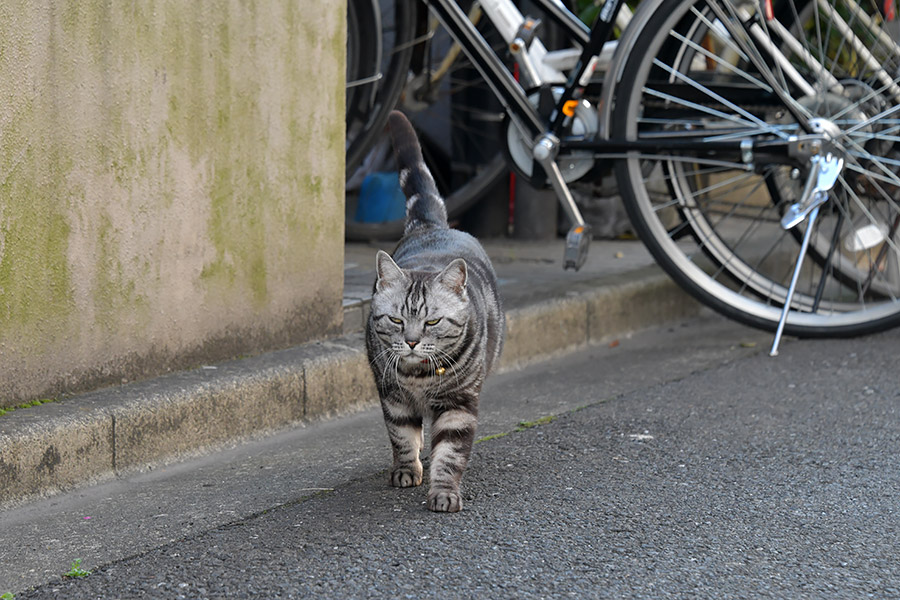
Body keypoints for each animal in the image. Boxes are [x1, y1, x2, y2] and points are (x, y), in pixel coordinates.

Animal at [366, 111, 506, 510]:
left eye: (432, 321)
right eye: (397, 320)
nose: (412, 342)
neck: (419, 378)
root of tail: (432, 225)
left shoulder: (459, 404)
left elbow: (450, 454)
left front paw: (443, 492)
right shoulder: (393, 396)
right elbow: (402, 436)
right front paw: (406, 471)